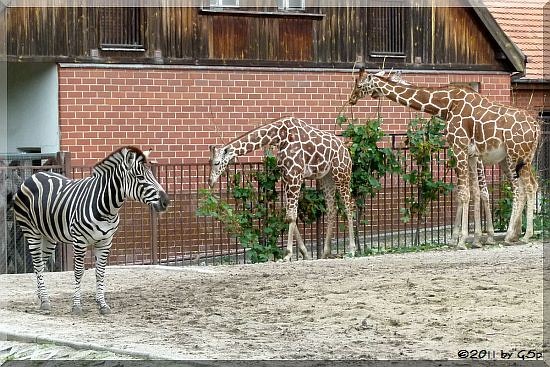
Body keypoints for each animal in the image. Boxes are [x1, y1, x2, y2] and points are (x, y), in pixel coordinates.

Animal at [14, 145, 170, 314]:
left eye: (152, 174)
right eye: (139, 177)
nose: (166, 201)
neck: (107, 208)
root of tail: (34, 175)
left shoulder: (106, 241)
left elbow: (100, 272)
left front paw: (102, 304)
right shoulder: (79, 241)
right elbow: (78, 271)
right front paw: (76, 306)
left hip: (49, 236)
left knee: (41, 265)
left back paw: (41, 297)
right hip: (32, 232)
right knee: (37, 263)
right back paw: (45, 301)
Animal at [208, 116, 358, 260]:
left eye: (217, 163)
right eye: (209, 162)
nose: (210, 181)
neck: (279, 137)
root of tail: (346, 151)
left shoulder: (295, 175)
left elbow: (291, 216)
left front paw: (287, 254)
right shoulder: (286, 176)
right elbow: (289, 214)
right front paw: (305, 253)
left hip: (342, 174)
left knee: (348, 206)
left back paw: (351, 250)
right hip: (326, 177)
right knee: (332, 209)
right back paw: (325, 252)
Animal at [350, 68, 544, 250]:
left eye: (359, 85)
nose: (351, 99)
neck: (446, 105)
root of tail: (536, 127)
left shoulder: (459, 148)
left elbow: (465, 194)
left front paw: (462, 240)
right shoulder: (471, 155)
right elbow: (474, 192)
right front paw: (474, 239)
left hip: (515, 154)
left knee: (524, 188)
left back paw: (517, 235)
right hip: (522, 158)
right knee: (530, 185)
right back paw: (518, 234)